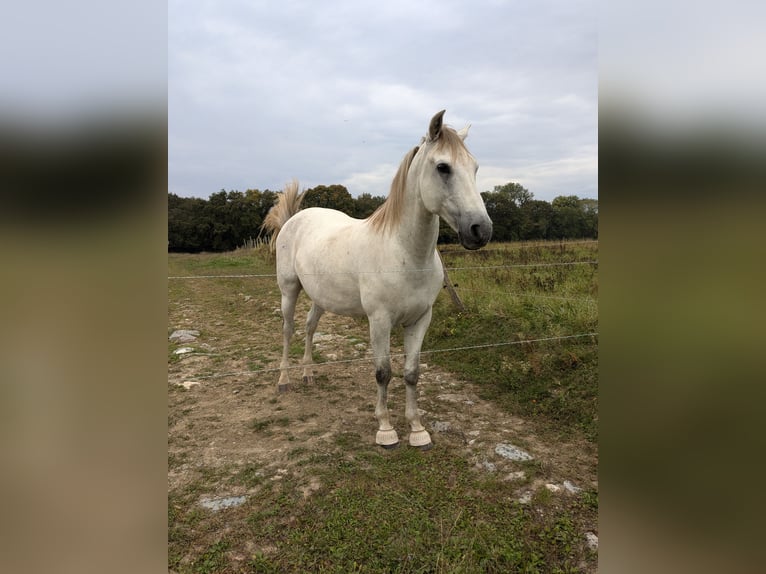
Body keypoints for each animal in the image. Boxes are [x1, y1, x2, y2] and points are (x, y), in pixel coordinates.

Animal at [262, 109, 492, 450]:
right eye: (443, 167)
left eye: (474, 167)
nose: (481, 230)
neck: (405, 253)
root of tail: (295, 219)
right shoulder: (379, 320)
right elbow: (383, 372)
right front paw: (385, 429)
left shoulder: (421, 319)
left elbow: (411, 372)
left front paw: (417, 430)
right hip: (289, 291)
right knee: (288, 330)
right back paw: (285, 380)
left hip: (320, 297)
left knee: (309, 327)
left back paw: (308, 375)